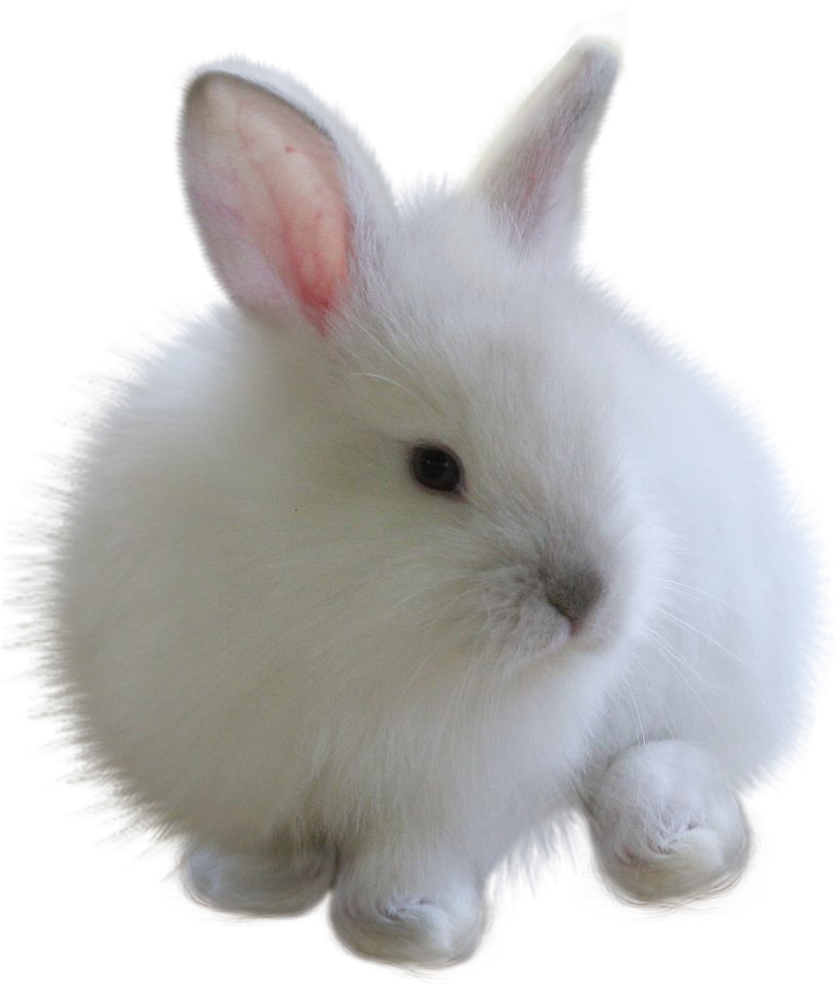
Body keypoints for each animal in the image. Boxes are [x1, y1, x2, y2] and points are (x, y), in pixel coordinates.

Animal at [3, 19, 834, 981]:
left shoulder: (445, 797)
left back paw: (675, 850)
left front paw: (409, 926)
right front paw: (245, 885)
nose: (587, 601)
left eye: (606, 426)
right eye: (433, 469)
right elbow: (254, 834)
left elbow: (414, 856)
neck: (350, 611)